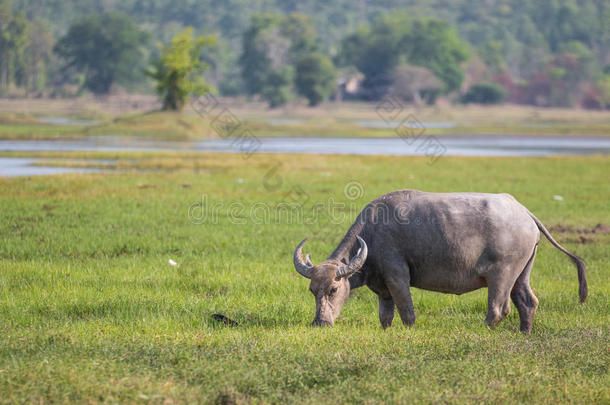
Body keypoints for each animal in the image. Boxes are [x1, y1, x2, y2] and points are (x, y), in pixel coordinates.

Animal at [292, 189, 588, 332]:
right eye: (312, 291)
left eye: (333, 289)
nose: (320, 322)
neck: (373, 234)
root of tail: (524, 212)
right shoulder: (383, 289)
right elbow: (385, 316)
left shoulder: (398, 277)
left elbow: (407, 312)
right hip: (521, 273)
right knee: (527, 301)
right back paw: (524, 332)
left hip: (502, 275)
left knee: (498, 309)